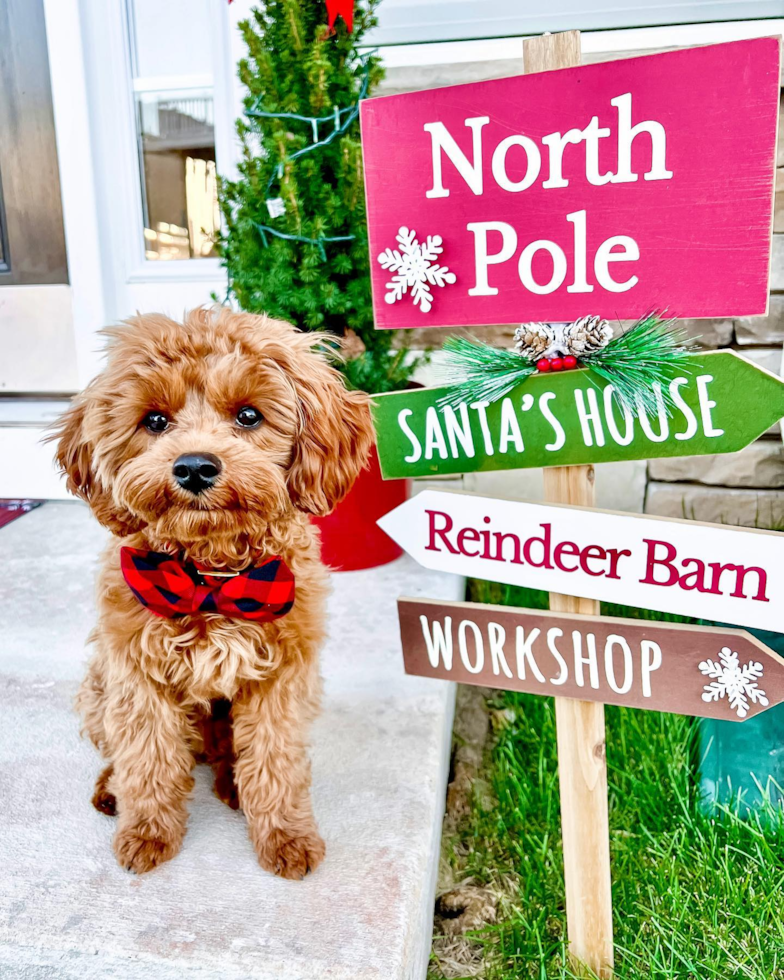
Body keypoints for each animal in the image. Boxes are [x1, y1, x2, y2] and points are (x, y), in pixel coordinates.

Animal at [52, 310, 374, 876]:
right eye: (155, 421)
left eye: (248, 415)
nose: (195, 466)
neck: (211, 578)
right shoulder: (135, 674)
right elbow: (147, 758)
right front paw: (147, 833)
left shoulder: (282, 681)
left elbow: (275, 759)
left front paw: (286, 836)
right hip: (96, 688)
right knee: (123, 751)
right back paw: (113, 790)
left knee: (230, 753)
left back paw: (232, 786)